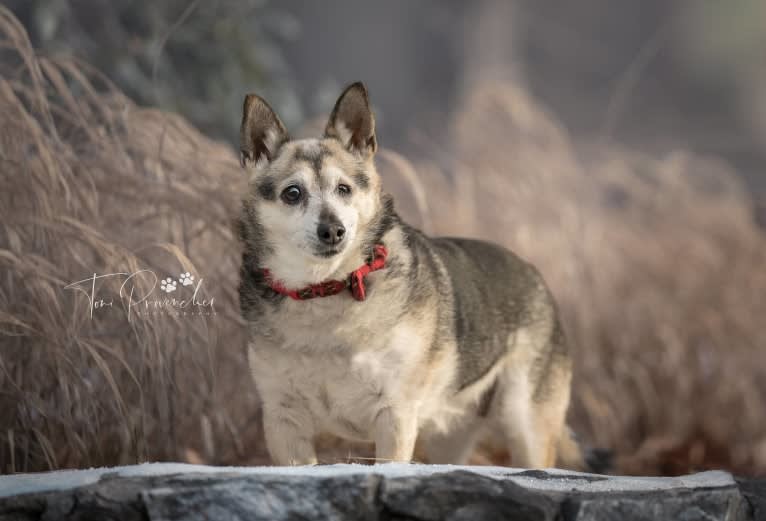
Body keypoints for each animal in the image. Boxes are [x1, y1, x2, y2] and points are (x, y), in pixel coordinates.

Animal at [237, 81, 608, 472]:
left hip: (526, 427)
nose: (333, 231)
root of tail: (536, 277)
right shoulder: (284, 421)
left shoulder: (395, 415)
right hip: (449, 438)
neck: (325, 289)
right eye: (292, 193)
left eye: (344, 189)